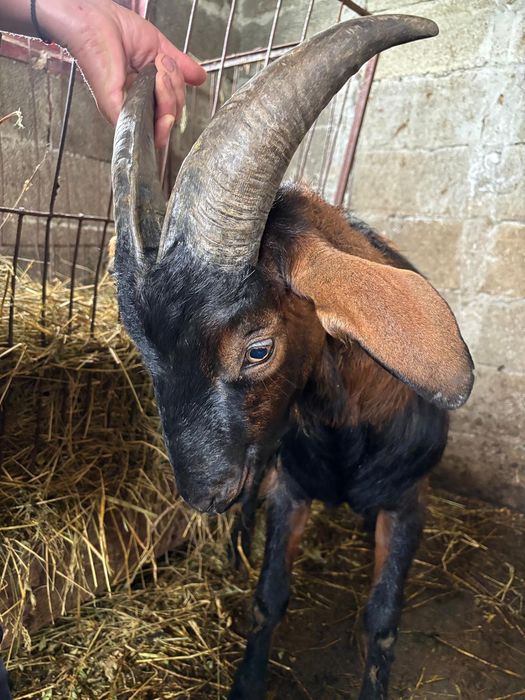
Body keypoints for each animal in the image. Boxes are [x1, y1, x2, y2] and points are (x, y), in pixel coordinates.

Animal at [111, 15, 474, 700]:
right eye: (143, 349)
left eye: (258, 349)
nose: (202, 494)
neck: (348, 433)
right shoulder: (290, 489)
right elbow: (270, 595)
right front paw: (248, 678)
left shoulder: (409, 503)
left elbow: (383, 619)